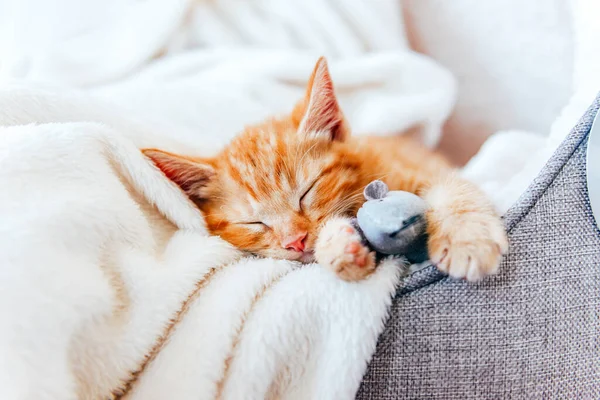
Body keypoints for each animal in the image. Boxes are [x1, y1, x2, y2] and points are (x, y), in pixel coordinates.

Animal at [144, 57, 506, 282]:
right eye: (253, 222)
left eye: (306, 192)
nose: (295, 242)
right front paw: (340, 249)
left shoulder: (427, 171)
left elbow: (452, 190)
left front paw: (467, 240)